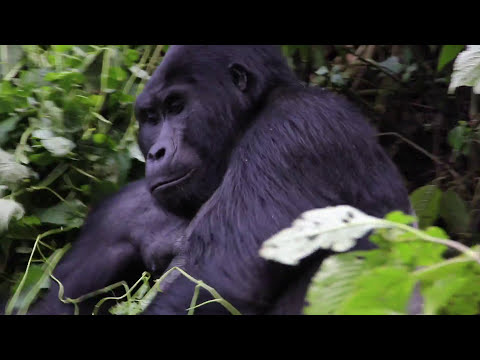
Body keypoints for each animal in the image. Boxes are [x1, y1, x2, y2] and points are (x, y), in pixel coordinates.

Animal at [27, 45, 408, 316]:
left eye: (176, 106)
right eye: (151, 117)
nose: (156, 153)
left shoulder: (297, 128)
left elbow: (220, 281)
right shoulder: (120, 210)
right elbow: (59, 303)